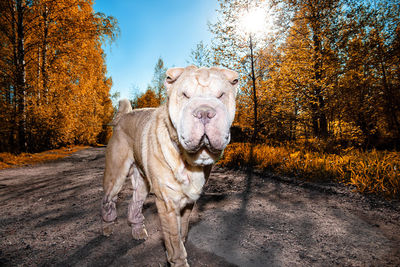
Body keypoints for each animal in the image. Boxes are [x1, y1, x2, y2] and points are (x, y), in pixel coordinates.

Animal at [101, 65, 238, 267]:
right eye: (185, 95)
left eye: (221, 95)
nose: (204, 112)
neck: (190, 160)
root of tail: (123, 117)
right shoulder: (167, 203)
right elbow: (173, 239)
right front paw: (178, 260)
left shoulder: (188, 202)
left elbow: (183, 232)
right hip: (115, 176)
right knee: (108, 201)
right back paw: (107, 226)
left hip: (141, 184)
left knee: (135, 204)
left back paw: (137, 230)